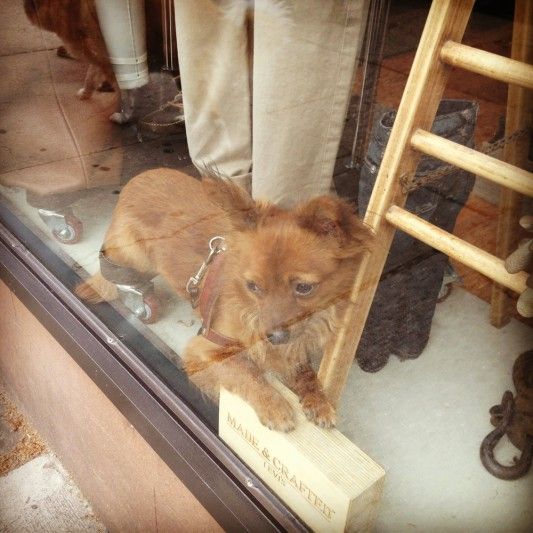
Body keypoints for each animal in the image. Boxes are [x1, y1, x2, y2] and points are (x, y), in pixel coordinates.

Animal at [77, 168, 372, 430]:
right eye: (253, 286)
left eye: (304, 288)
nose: (273, 336)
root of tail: (136, 179)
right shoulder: (204, 350)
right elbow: (245, 370)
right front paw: (274, 406)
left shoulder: (291, 347)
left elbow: (304, 371)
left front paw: (318, 400)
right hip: (132, 257)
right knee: (114, 274)